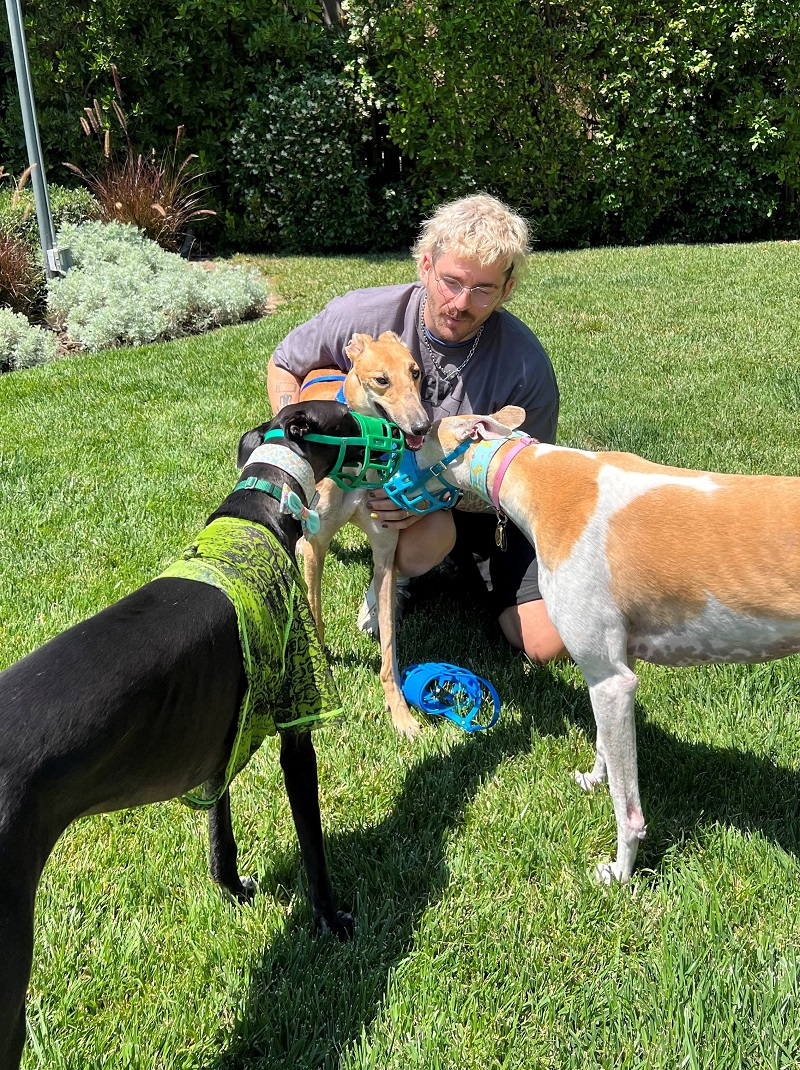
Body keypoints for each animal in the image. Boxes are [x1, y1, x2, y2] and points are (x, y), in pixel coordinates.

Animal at [0, 402, 359, 1070]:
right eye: (346, 415)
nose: (405, 432)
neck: (258, 510)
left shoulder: (222, 732)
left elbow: (220, 835)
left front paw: (234, 891)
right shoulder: (295, 722)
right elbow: (313, 847)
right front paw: (331, 921)